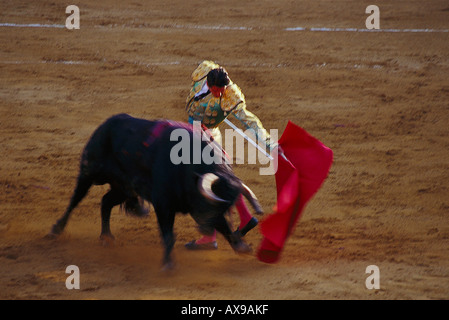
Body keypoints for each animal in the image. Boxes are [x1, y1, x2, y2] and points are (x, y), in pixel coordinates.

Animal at [48, 114, 262, 268]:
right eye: (210, 203)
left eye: (229, 208)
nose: (205, 229)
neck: (189, 168)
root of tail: (107, 124)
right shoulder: (163, 204)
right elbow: (168, 234)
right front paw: (168, 263)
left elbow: (225, 228)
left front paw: (242, 247)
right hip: (89, 171)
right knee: (76, 199)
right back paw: (56, 230)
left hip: (123, 187)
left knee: (106, 202)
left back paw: (106, 237)